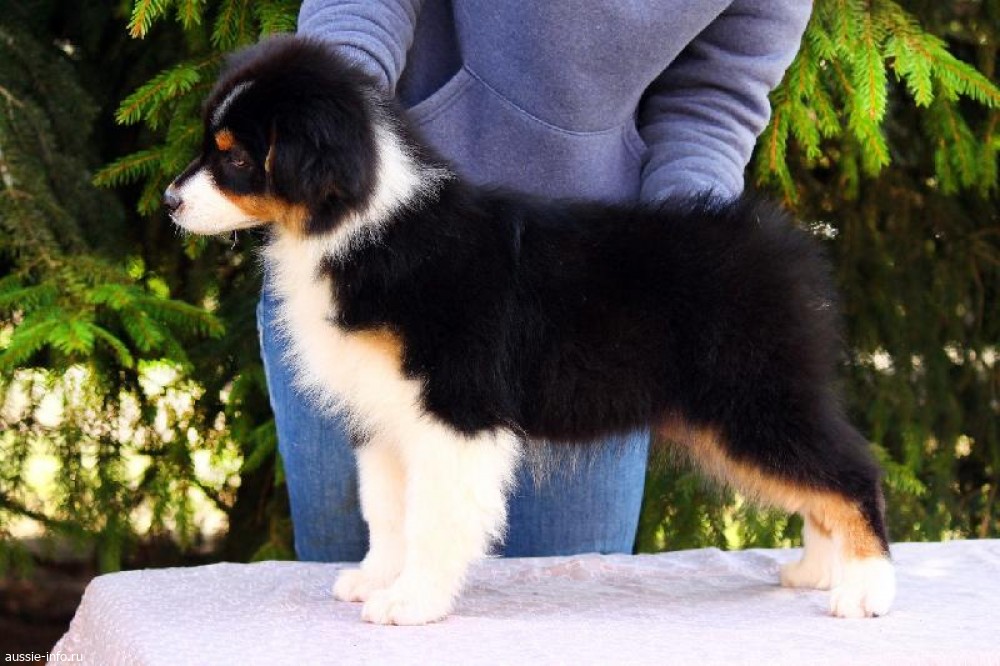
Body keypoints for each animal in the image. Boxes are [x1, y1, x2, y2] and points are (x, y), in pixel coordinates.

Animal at [165, 35, 895, 625]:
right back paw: (818, 570)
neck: (365, 225)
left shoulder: (455, 411)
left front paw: (410, 603)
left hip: (752, 398)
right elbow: (387, 511)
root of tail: (786, 246)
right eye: (208, 144)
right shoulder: (383, 415)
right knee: (819, 483)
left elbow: (432, 518)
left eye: (234, 159)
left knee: (851, 470)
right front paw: (375, 580)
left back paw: (865, 589)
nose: (169, 202)